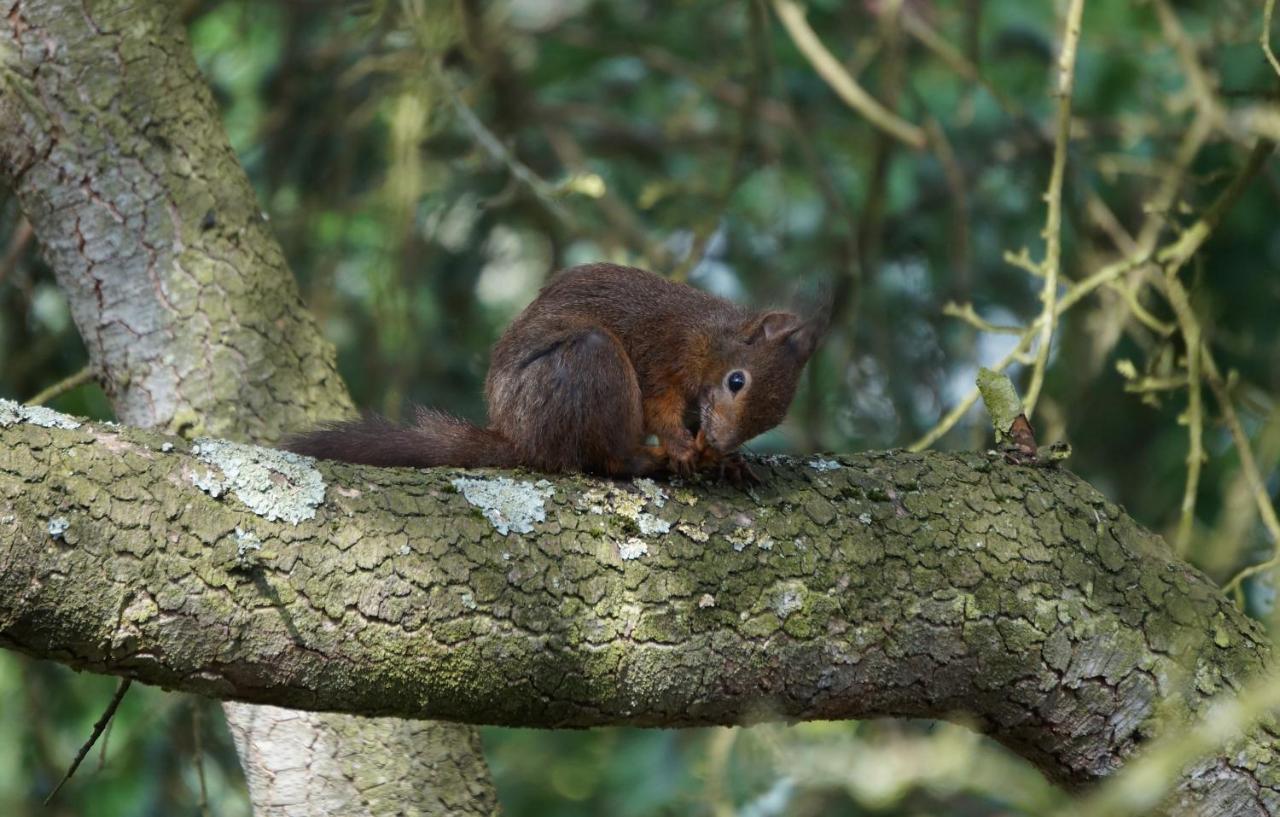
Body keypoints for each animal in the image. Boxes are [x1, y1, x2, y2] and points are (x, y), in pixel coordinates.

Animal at [282, 262, 829, 484]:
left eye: (774, 419)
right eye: (737, 381)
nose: (719, 441)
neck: (709, 337)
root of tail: (520, 437)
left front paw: (728, 461)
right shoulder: (665, 356)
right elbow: (661, 406)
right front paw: (681, 446)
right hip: (588, 365)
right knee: (609, 459)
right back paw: (648, 459)